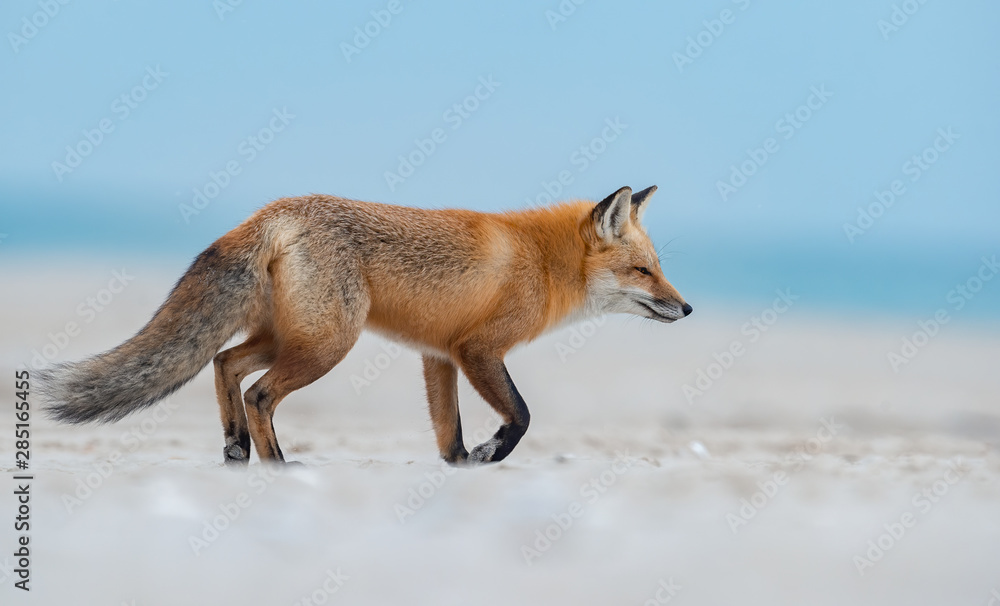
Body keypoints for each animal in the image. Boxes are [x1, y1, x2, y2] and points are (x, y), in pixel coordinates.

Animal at [39, 185, 691, 465]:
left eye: (660, 269)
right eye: (643, 271)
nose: (687, 309)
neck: (542, 261)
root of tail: (274, 209)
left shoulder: (440, 355)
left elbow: (448, 434)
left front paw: (461, 465)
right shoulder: (478, 349)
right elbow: (523, 415)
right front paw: (492, 452)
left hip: (289, 337)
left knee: (225, 364)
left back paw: (236, 449)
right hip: (327, 345)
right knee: (259, 392)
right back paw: (277, 464)